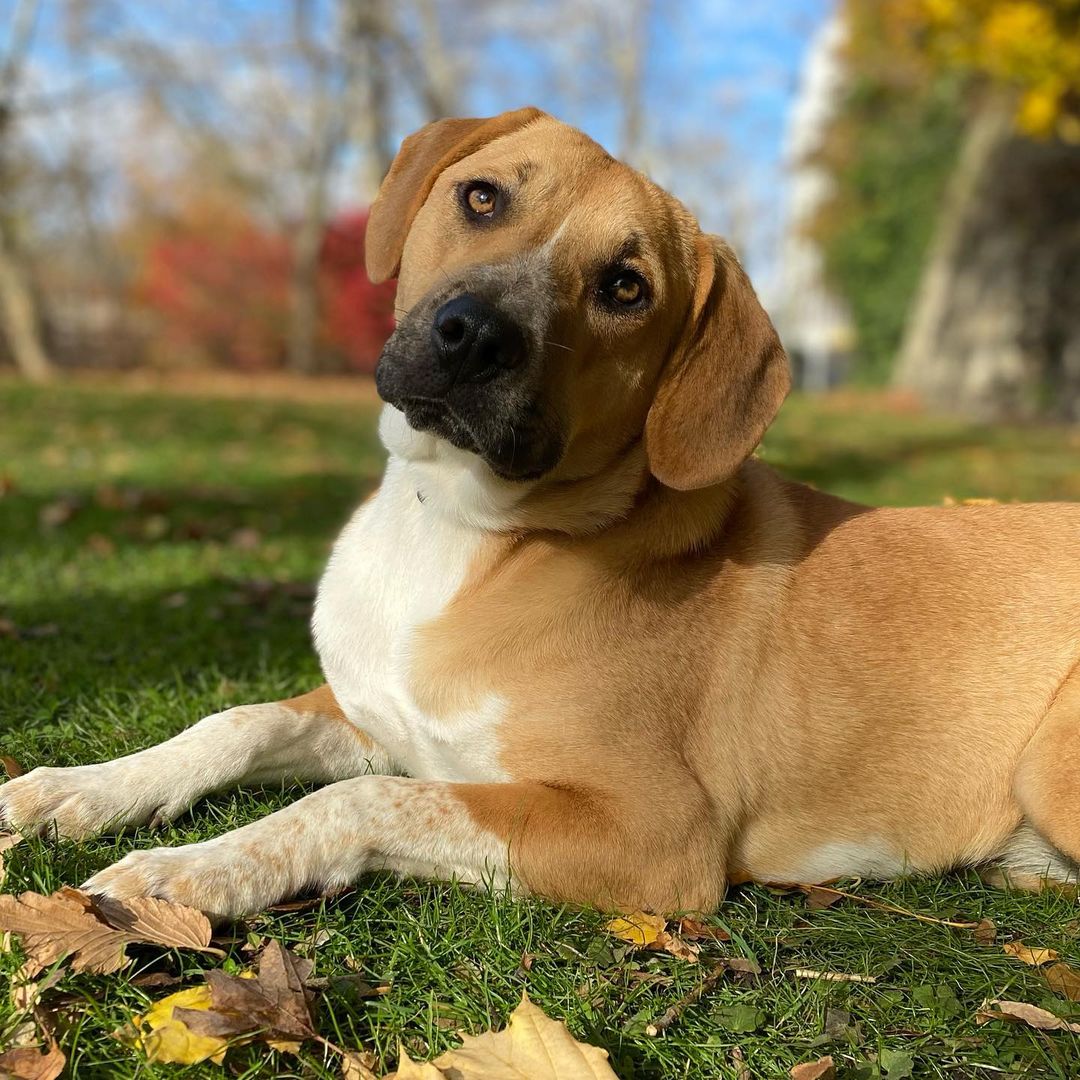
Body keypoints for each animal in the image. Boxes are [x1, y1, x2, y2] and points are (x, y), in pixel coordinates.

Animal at [2, 111, 1080, 920]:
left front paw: (189, 872)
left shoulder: (653, 836)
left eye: (626, 287)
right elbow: (235, 722)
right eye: (483, 197)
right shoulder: (379, 715)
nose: (474, 336)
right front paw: (83, 787)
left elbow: (354, 801)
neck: (453, 527)